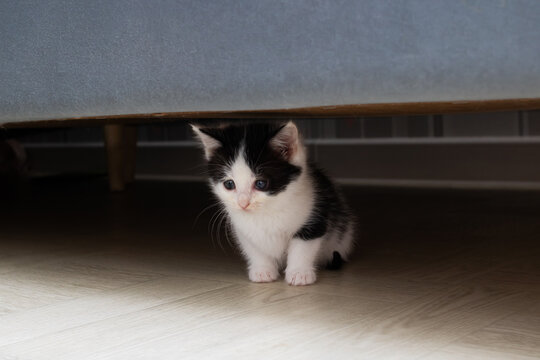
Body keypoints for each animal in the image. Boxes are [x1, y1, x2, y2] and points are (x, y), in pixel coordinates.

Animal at [193, 122, 354, 286]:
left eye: (261, 183)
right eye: (229, 184)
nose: (243, 203)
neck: (269, 210)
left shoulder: (315, 216)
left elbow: (302, 247)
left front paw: (299, 273)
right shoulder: (243, 229)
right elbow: (254, 248)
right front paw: (263, 270)